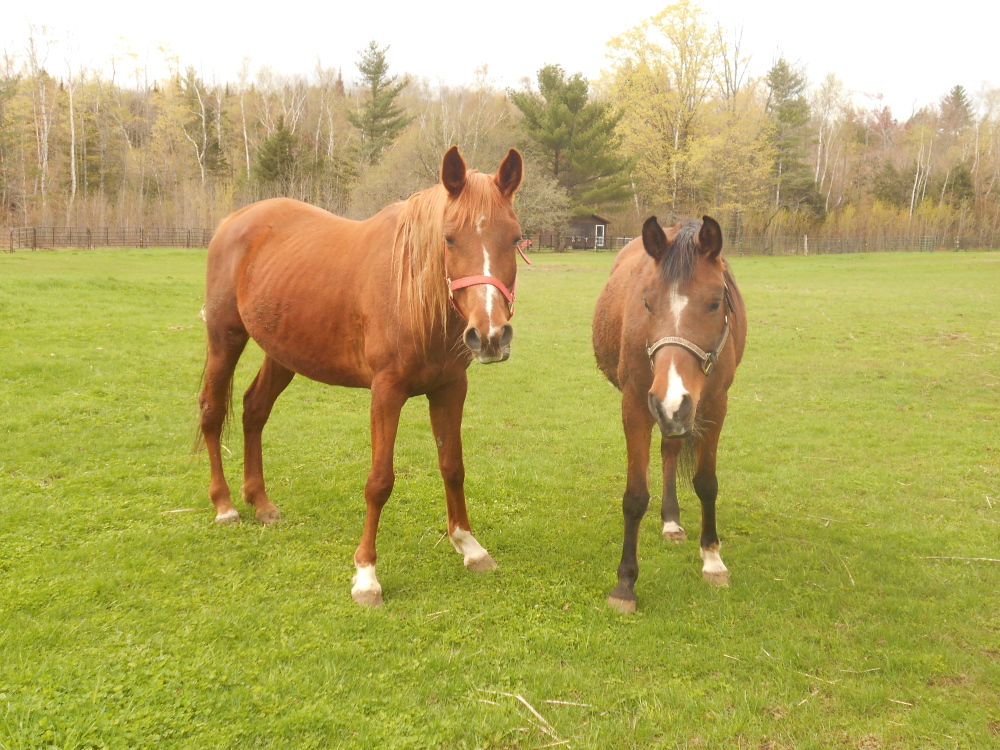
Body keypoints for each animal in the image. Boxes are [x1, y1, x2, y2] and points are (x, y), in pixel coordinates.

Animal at [196, 148, 524, 612]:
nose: (491, 336)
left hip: (282, 352)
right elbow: (379, 482)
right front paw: (366, 575)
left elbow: (453, 467)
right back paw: (224, 505)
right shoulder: (386, 393)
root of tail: (235, 220)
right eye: (449, 239)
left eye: (514, 238)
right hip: (225, 338)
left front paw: (470, 547)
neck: (411, 293)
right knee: (212, 411)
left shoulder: (449, 390)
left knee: (253, 410)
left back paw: (260, 502)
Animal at [588, 214, 748, 612]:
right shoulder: (636, 406)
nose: (672, 400)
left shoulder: (714, 405)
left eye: (715, 302)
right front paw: (625, 584)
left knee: (671, 451)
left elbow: (706, 483)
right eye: (647, 303)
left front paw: (712, 559)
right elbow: (634, 497)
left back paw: (672, 521)